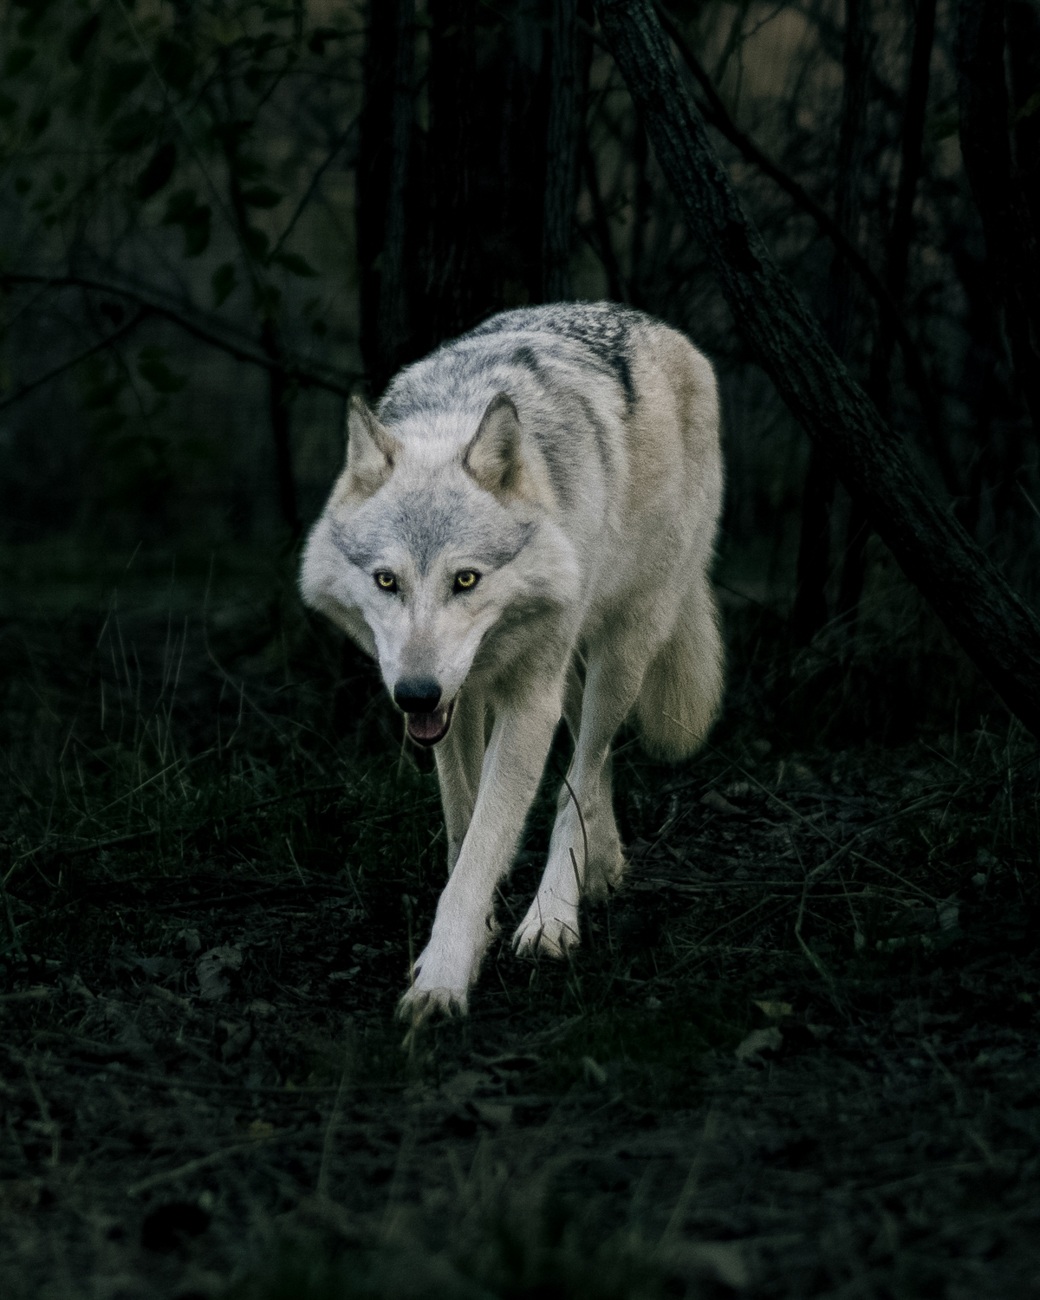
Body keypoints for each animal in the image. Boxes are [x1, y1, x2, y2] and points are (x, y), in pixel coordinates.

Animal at [300, 303, 724, 1021]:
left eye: (466, 580)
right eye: (386, 581)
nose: (414, 694)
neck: (455, 414)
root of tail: (655, 324)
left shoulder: (526, 704)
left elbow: (488, 839)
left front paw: (443, 975)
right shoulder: (458, 704)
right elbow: (465, 826)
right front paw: (480, 930)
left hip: (622, 649)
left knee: (585, 766)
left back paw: (555, 916)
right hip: (568, 668)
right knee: (590, 762)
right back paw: (601, 867)